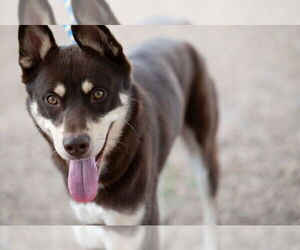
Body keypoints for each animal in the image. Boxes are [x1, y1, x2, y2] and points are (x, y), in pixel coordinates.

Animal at [18, 24, 219, 249]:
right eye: (51, 99)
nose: (75, 145)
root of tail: (180, 42)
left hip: (204, 156)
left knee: (209, 203)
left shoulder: (127, 231)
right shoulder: (89, 230)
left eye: (99, 93)